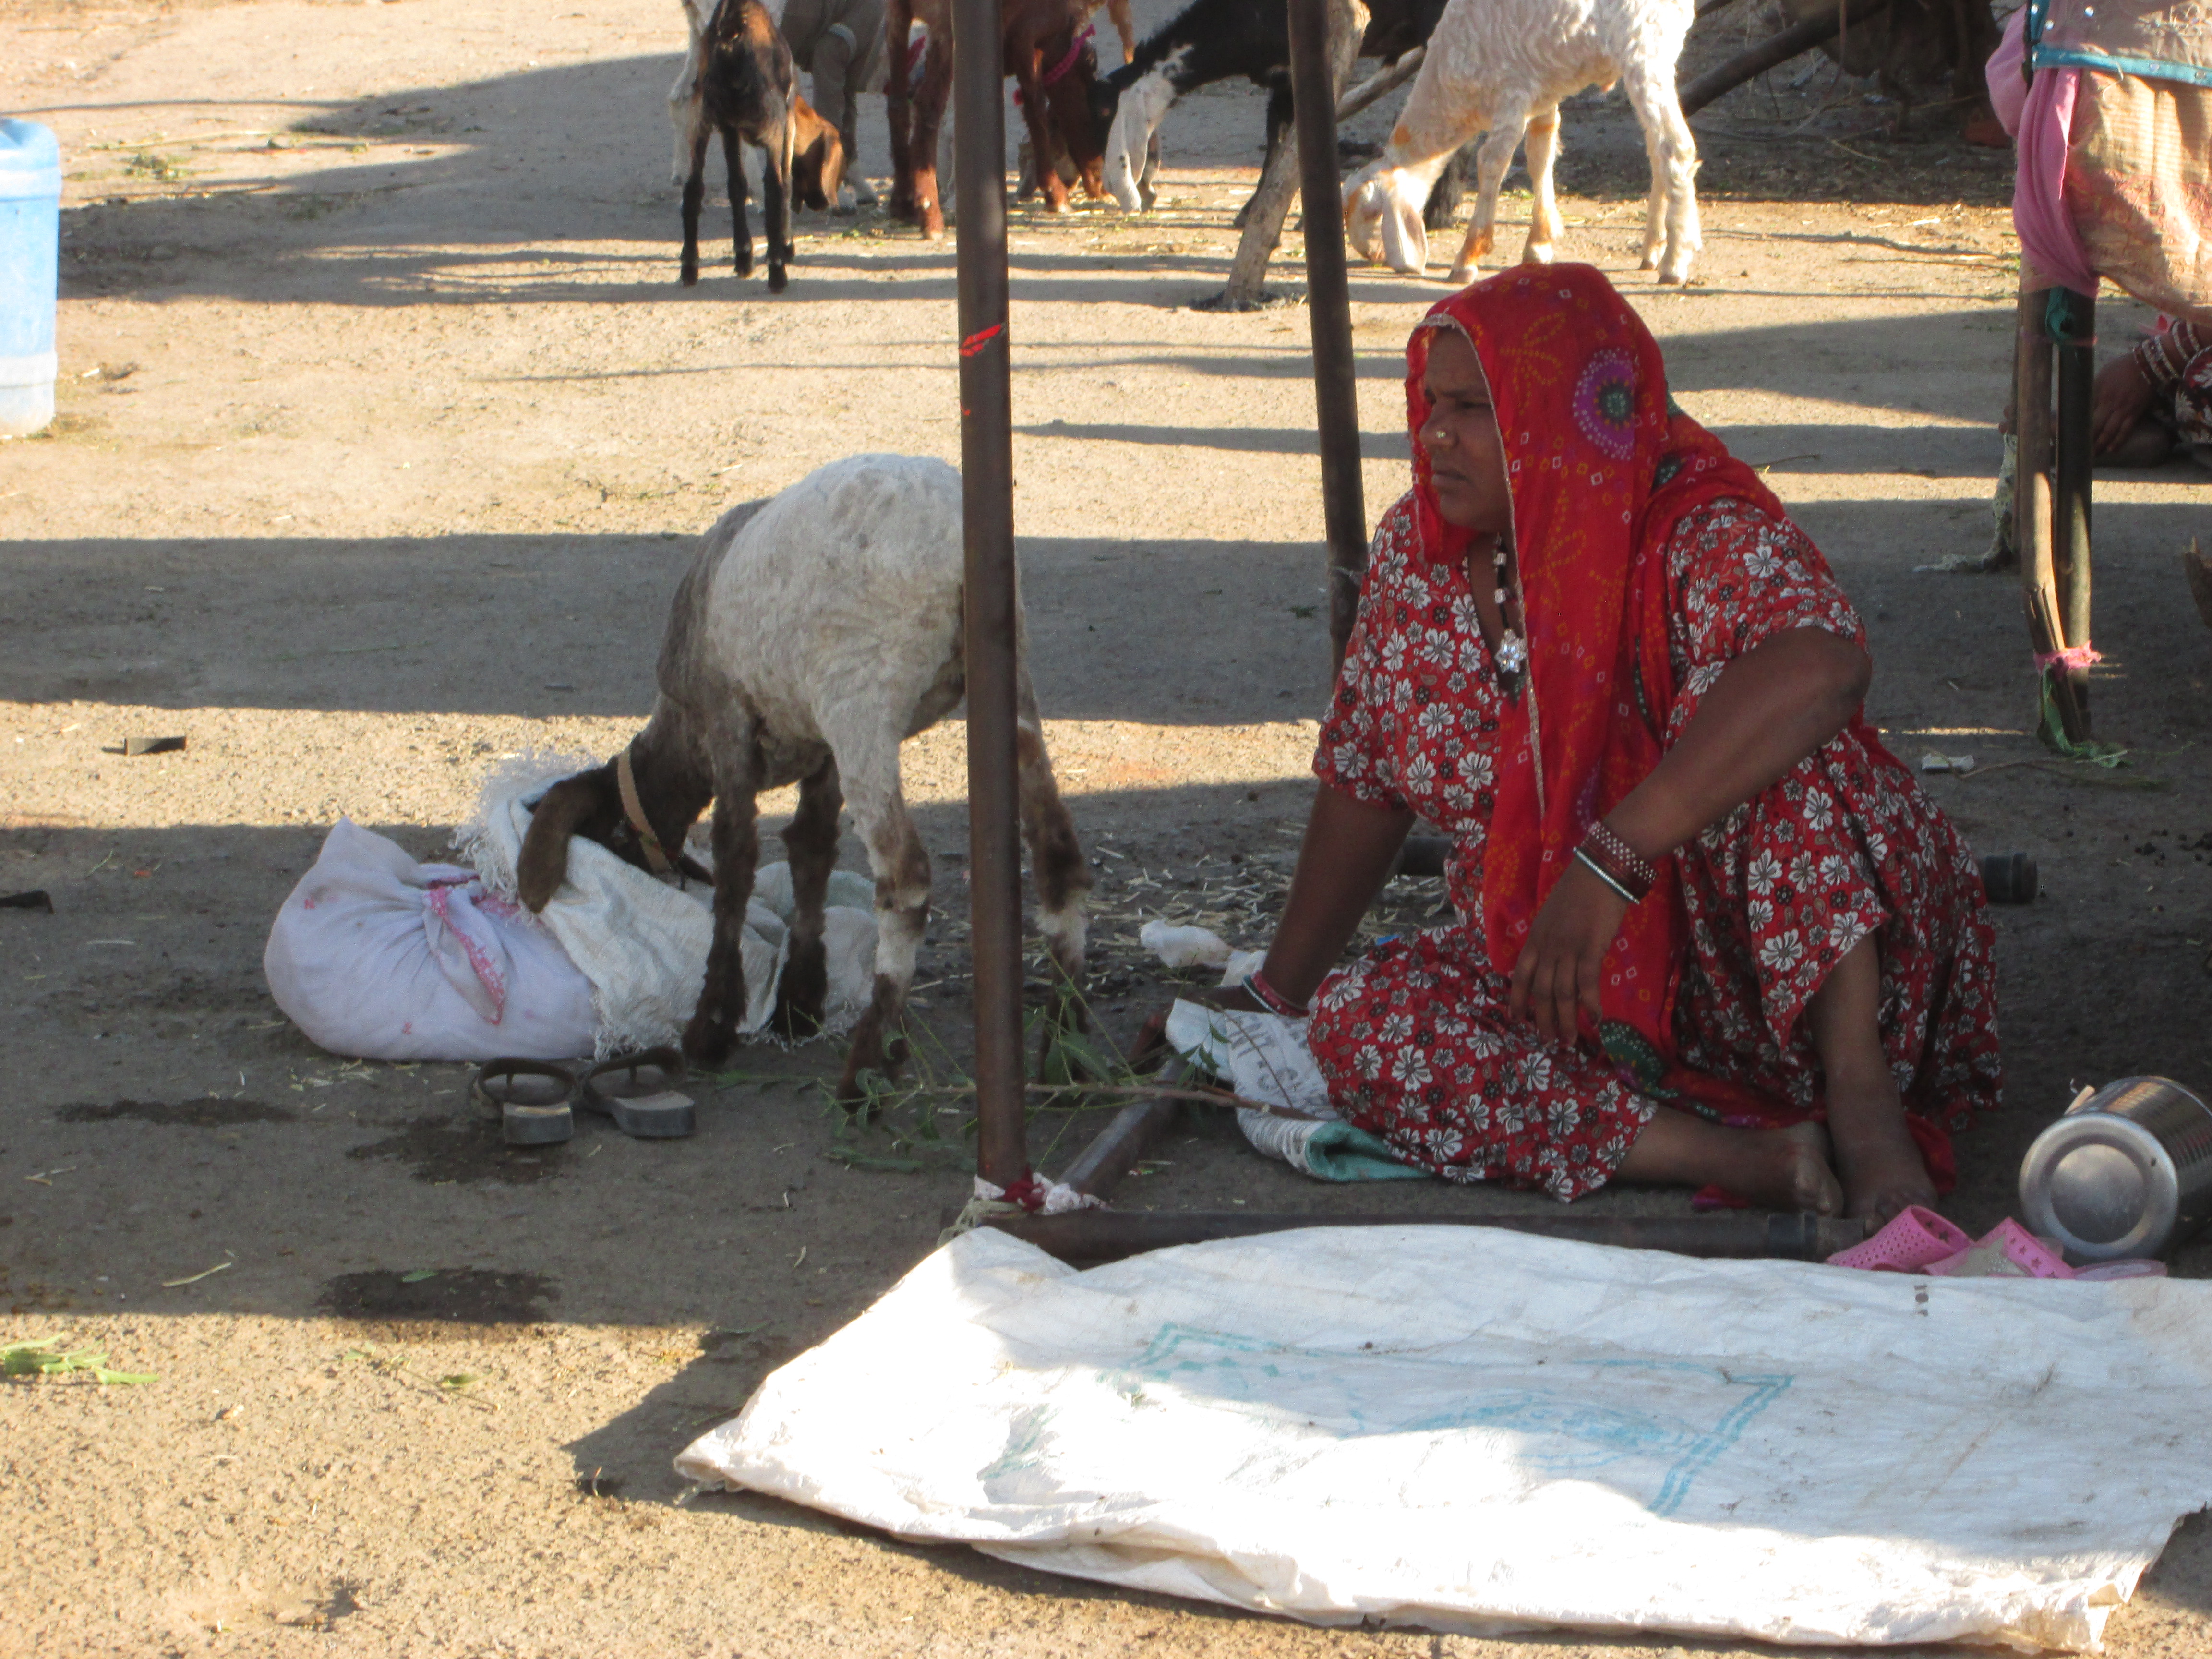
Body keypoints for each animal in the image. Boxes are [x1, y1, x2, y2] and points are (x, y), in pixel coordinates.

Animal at [513, 454, 1092, 1103]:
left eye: (612, 841)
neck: (681, 734)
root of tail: (952, 537)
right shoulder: (820, 748)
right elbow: (811, 851)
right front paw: (801, 999)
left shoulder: (729, 722)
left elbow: (736, 861)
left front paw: (714, 1024)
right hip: (1008, 673)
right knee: (1057, 853)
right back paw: (1066, 1049)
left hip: (861, 692)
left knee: (906, 877)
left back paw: (866, 1071)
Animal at [677, 0, 846, 292]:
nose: (821, 203)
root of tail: (733, 34)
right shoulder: (786, 125)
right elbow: (785, 184)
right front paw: (785, 247)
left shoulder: (729, 129)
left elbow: (737, 186)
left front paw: (744, 255)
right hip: (772, 124)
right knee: (775, 187)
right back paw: (778, 272)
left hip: (699, 120)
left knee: (693, 188)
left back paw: (690, 267)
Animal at [886, 0, 1105, 237]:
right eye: (1098, 114)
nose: (1101, 184)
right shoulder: (1027, 37)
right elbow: (1035, 108)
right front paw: (1056, 196)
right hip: (944, 26)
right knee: (927, 106)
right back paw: (931, 217)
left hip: (898, 15)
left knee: (897, 103)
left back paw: (902, 204)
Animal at [1341, 0, 1701, 285]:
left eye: (1371, 213)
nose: (1374, 255)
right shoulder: (1541, 94)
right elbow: (1540, 153)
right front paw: (1539, 246)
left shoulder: (1511, 95)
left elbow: (1492, 163)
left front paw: (1468, 258)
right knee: (1657, 147)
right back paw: (1653, 248)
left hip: (1644, 49)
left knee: (1676, 147)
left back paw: (1675, 262)